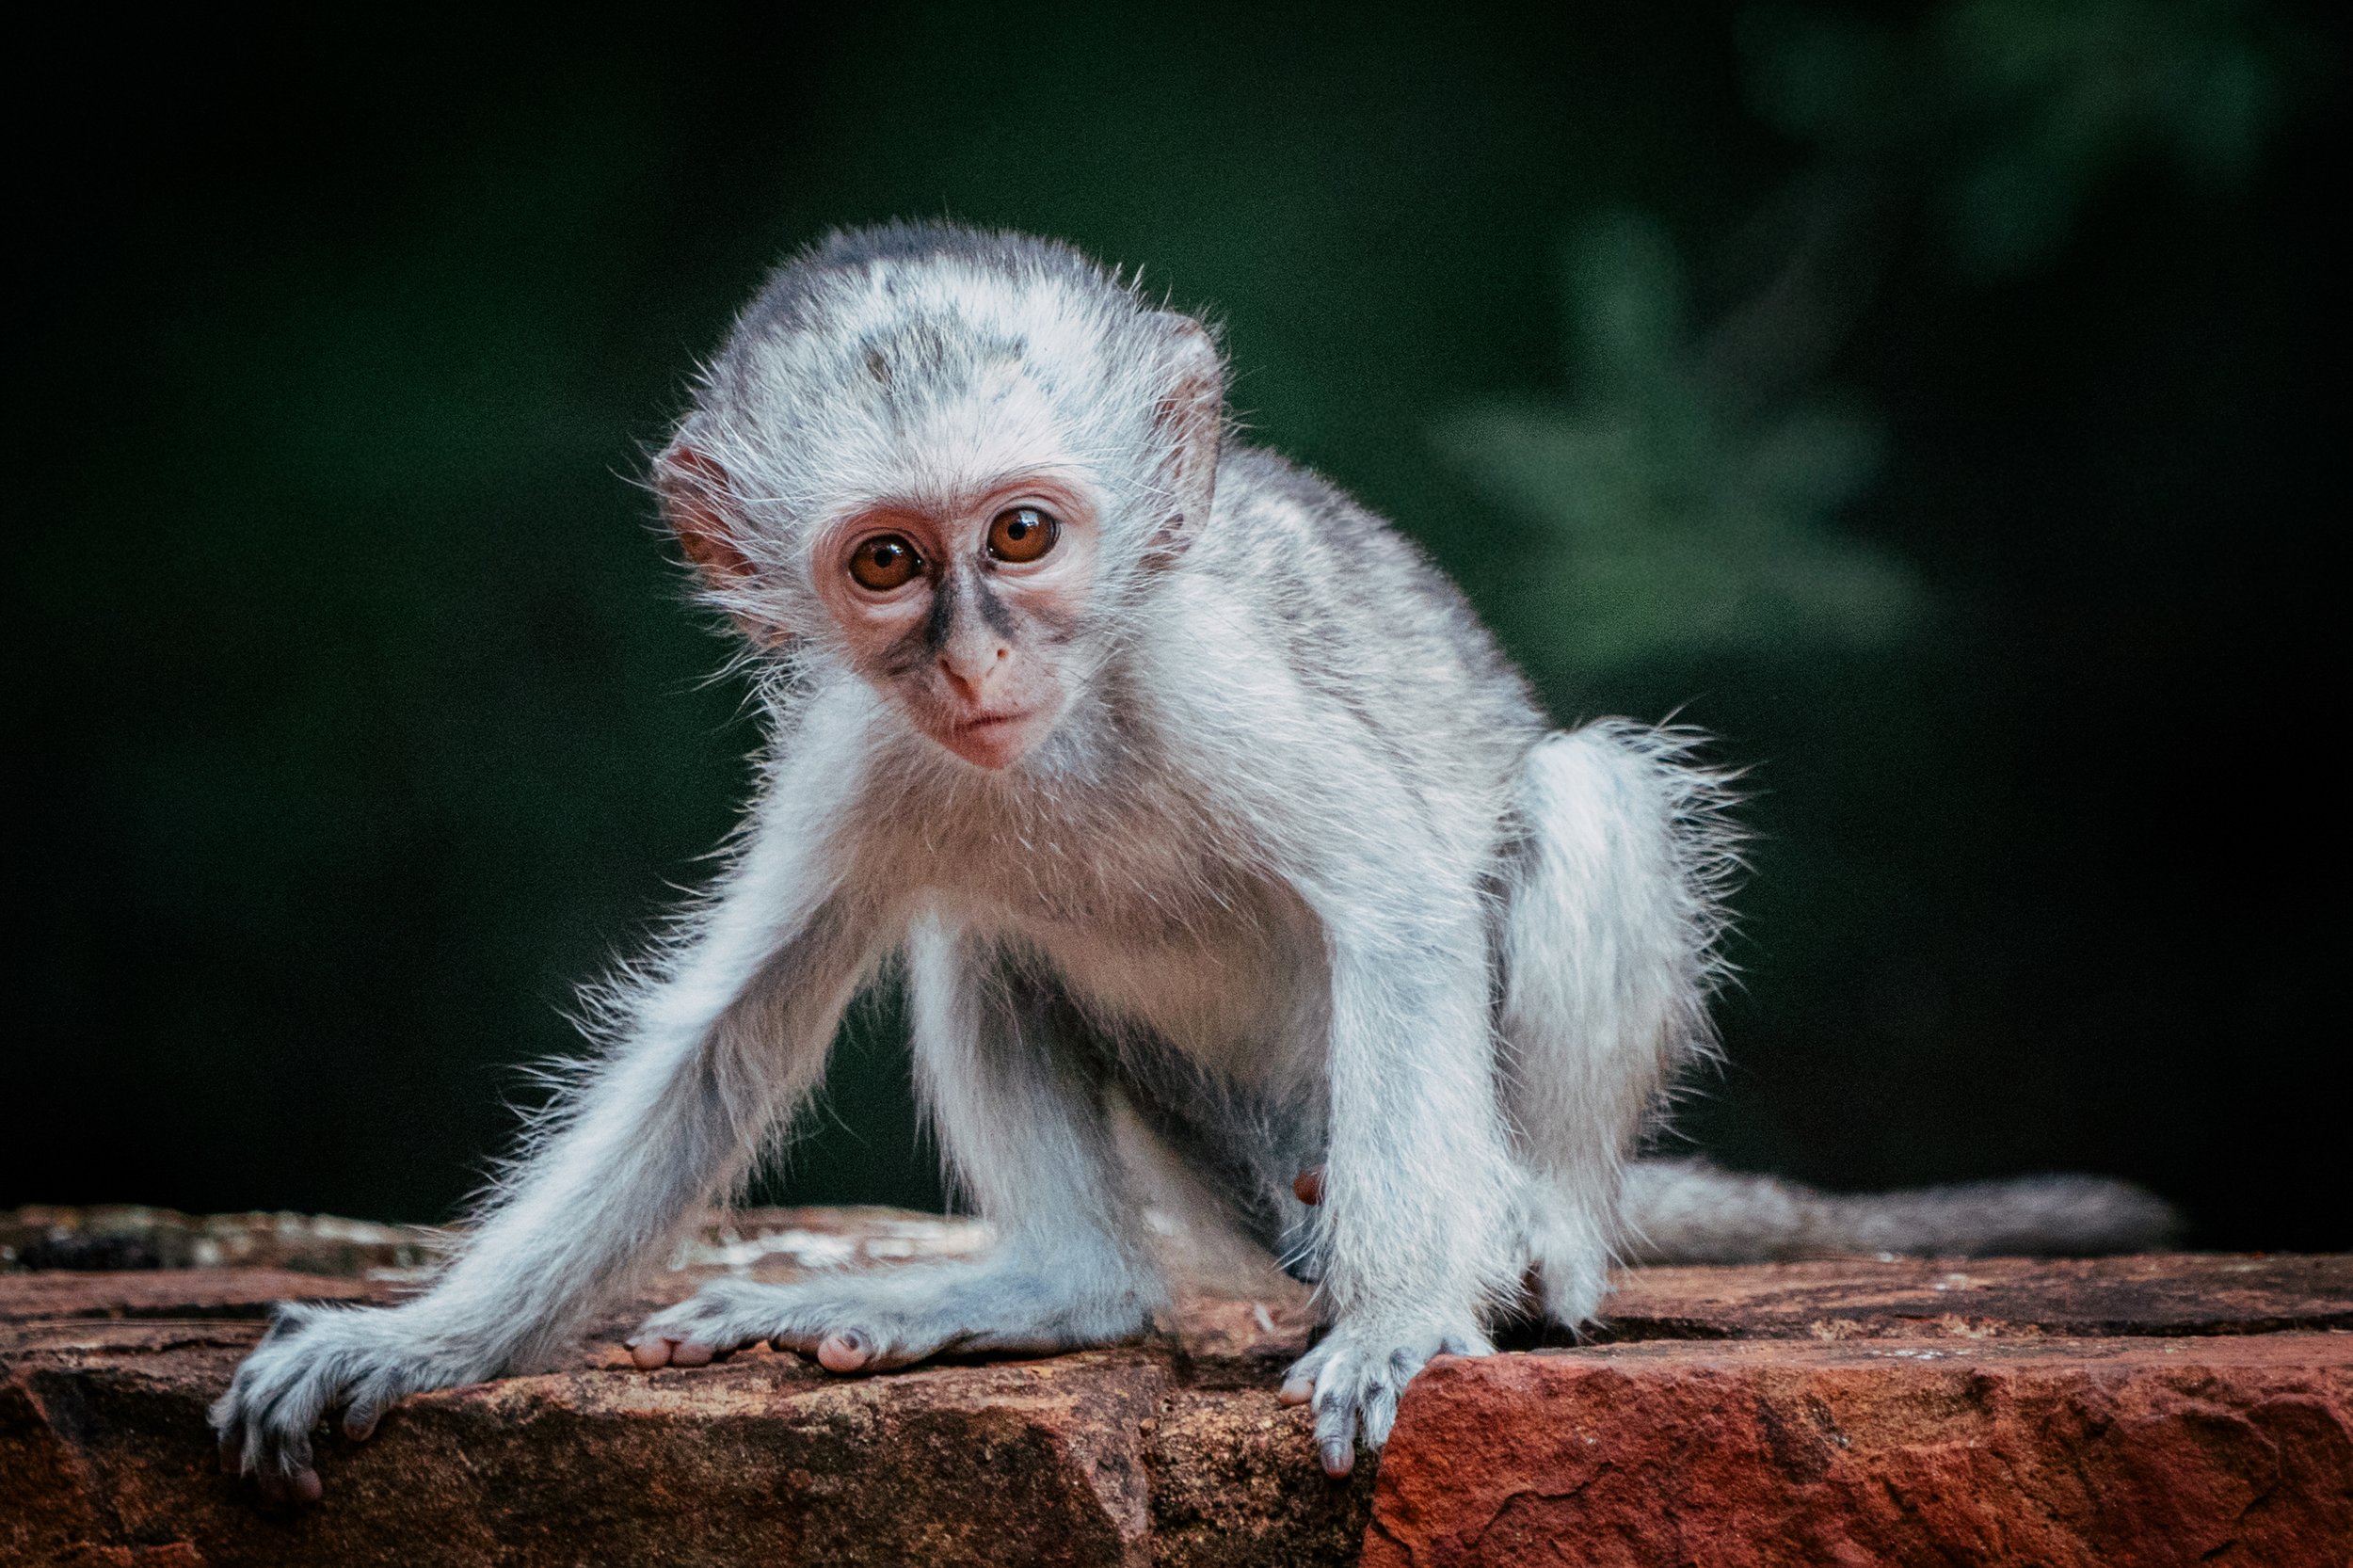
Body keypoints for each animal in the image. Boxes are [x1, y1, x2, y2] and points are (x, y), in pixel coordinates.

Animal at [212, 222, 2174, 1503]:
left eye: (1022, 535)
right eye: (887, 564)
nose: (980, 663)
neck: (1065, 729)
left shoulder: (1200, 668)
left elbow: (1399, 904)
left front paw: (1404, 1326)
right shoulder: (856, 749)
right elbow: (726, 1043)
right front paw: (416, 1342)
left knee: (1582, 803)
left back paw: (1525, 1245)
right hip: (1232, 1164)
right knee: (981, 939)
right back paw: (1052, 1290)